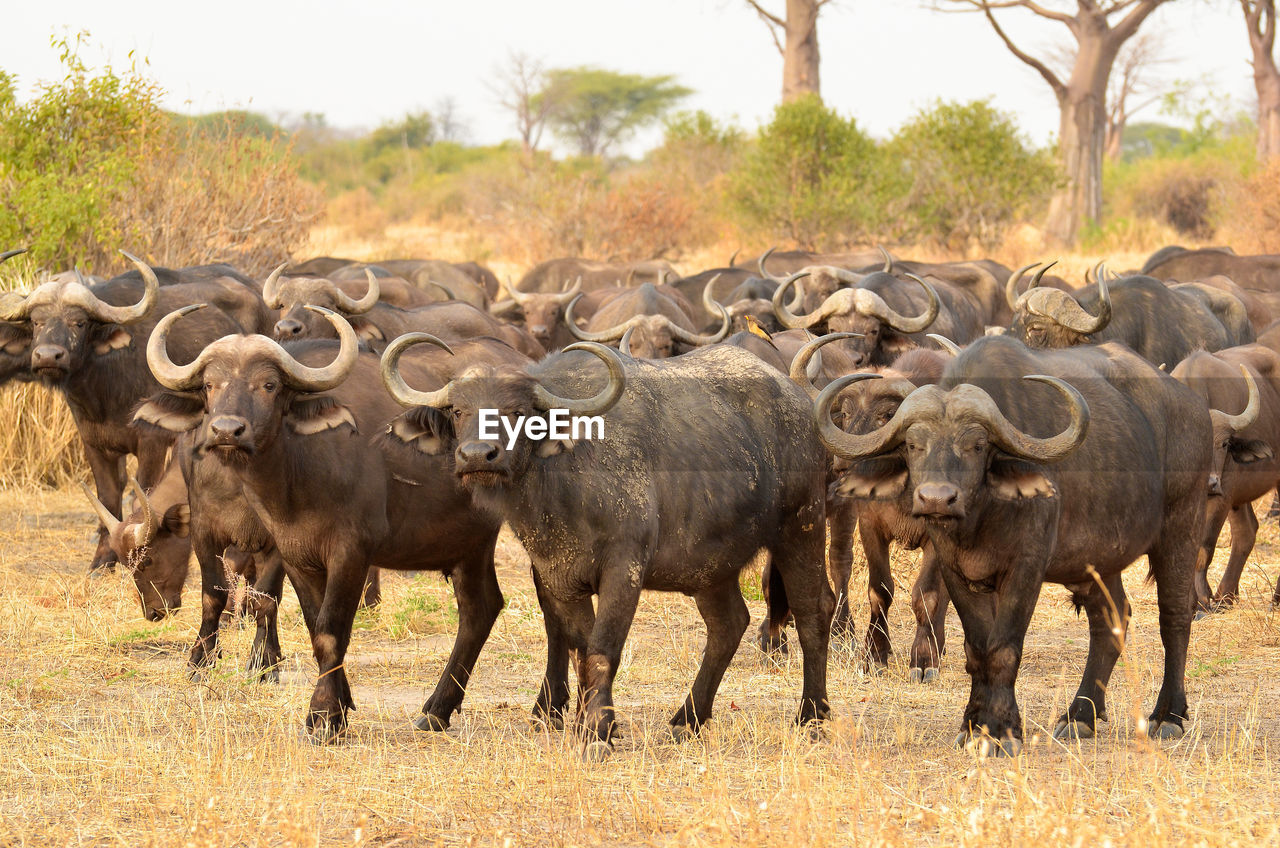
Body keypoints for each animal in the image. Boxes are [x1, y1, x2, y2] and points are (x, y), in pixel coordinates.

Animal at [142, 308, 532, 742]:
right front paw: (340, 706)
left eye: (269, 385)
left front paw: (323, 716)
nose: (227, 430)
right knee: (480, 608)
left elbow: (331, 630)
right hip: (469, 544)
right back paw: (436, 711)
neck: (302, 469)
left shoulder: (350, 554)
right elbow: (315, 628)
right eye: (210, 385)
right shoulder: (294, 555)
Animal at [378, 343, 834, 758]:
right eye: (458, 410)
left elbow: (602, 648)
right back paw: (687, 719)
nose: (477, 456)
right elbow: (580, 650)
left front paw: (596, 733)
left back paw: (812, 715)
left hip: (803, 527)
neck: (562, 483)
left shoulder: (624, 568)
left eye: (518, 412)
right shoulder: (558, 576)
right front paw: (592, 723)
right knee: (729, 624)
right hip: (711, 565)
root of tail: (799, 400)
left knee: (813, 611)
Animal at [819, 335, 1208, 753]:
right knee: (1111, 619)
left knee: (1175, 618)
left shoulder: (1025, 568)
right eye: (912, 444)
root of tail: (1193, 407)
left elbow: (1003, 648)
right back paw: (1080, 716)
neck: (982, 516)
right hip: (1099, 558)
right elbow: (977, 648)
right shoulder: (956, 569)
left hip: (1181, 527)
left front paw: (1002, 731)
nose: (937, 499)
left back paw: (1167, 715)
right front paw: (974, 724)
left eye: (977, 445)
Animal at [1172, 348, 1280, 614]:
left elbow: (1202, 549)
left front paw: (1200, 601)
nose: (1209, 483)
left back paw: (1275, 598)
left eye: (1223, 444)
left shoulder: (1222, 496)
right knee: (1246, 532)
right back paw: (1226, 595)